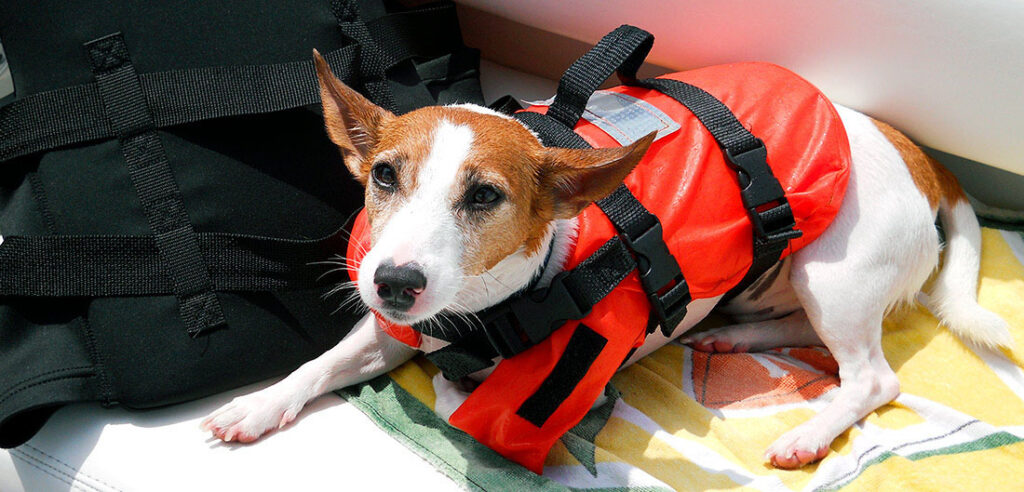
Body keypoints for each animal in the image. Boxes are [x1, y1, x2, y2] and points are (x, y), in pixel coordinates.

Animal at [203, 52, 1011, 469]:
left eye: (485, 196)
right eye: (383, 176)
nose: (394, 282)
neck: (481, 312)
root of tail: (919, 154)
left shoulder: (542, 400)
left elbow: (462, 404)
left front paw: (457, 388)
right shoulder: (394, 326)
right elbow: (324, 363)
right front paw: (256, 404)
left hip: (832, 274)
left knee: (870, 375)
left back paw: (807, 433)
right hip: (786, 284)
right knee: (808, 335)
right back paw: (731, 337)